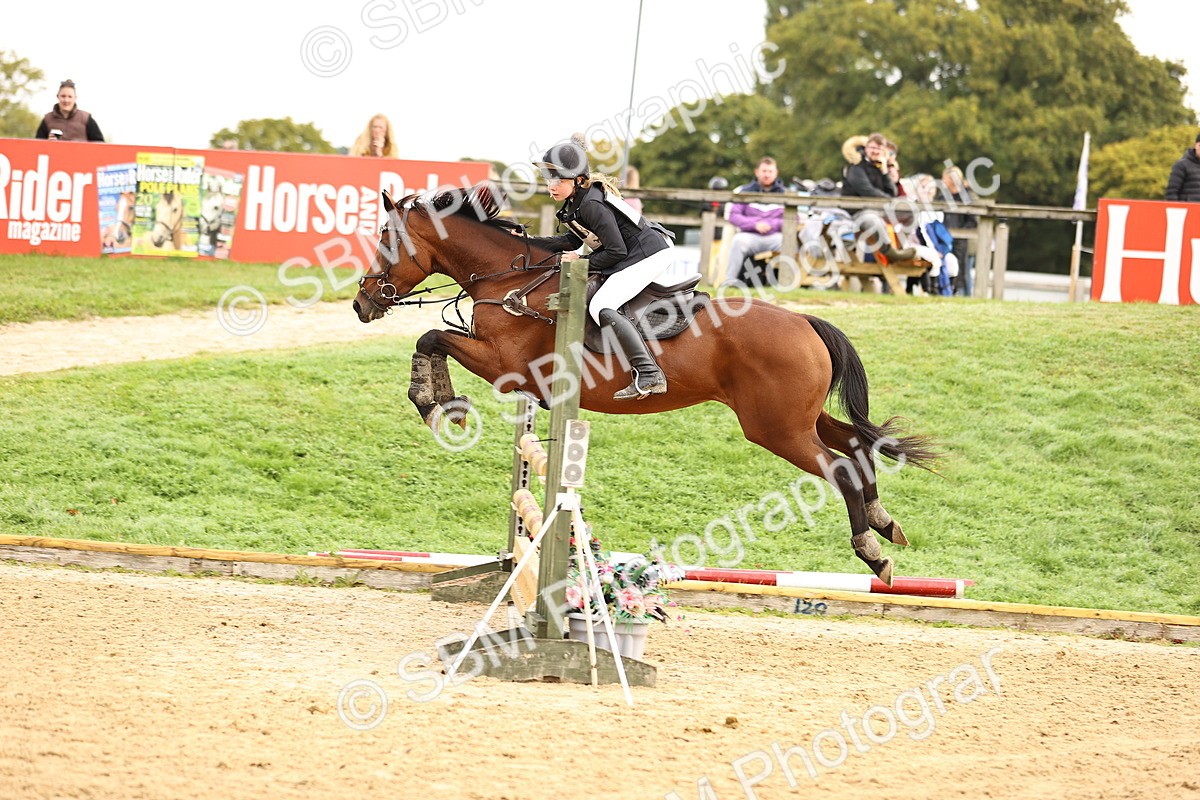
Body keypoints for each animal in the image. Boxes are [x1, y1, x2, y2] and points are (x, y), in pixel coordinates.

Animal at [352, 186, 939, 585]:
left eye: (386, 239)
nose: (361, 303)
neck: (512, 281)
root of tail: (804, 321)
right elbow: (433, 338)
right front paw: (440, 401)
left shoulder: (506, 366)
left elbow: (431, 336)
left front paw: (435, 403)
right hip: (800, 418)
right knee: (858, 447)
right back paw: (885, 523)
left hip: (776, 429)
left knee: (839, 468)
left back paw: (872, 551)